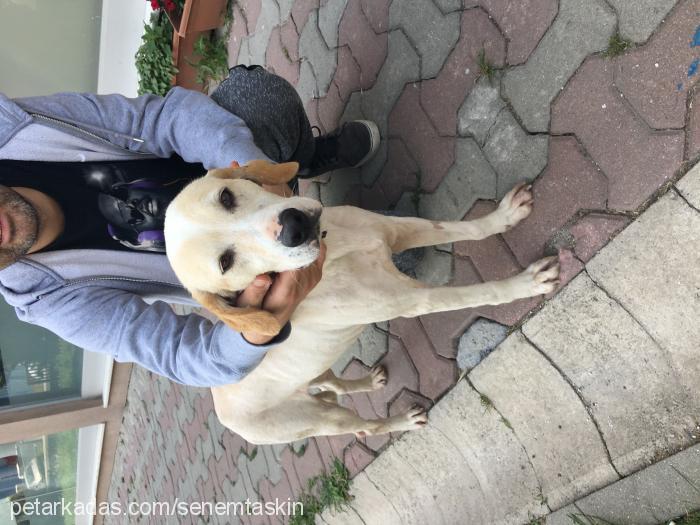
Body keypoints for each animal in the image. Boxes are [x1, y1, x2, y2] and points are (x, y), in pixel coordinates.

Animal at [163, 160, 556, 442]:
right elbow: (476, 293)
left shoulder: (401, 229)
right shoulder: (413, 299)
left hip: (315, 371)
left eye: (226, 197)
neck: (334, 250)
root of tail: (222, 411)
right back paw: (402, 421)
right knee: (365, 427)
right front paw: (525, 284)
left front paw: (504, 217)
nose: (294, 227)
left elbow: (463, 228)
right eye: (226, 263)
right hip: (324, 420)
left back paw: (366, 383)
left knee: (333, 383)